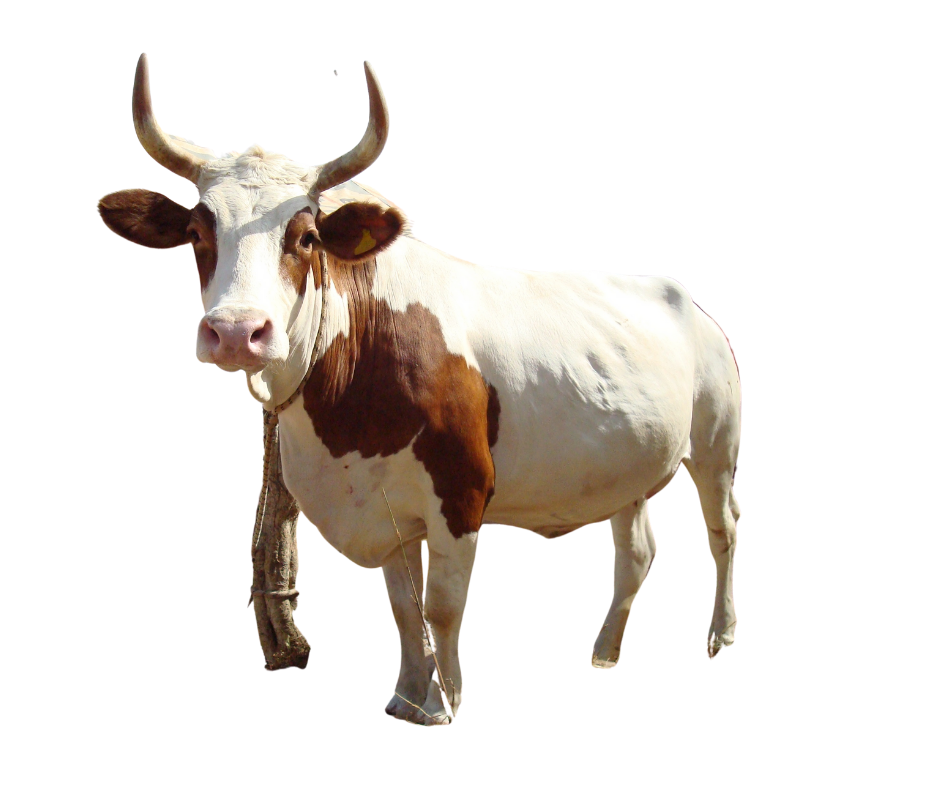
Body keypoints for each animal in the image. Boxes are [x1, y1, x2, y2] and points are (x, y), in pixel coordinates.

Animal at [99, 55, 742, 726]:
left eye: (305, 237)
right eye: (198, 233)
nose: (235, 332)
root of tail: (686, 300)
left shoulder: (459, 495)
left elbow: (442, 606)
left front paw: (444, 704)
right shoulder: (387, 509)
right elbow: (405, 609)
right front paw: (406, 696)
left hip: (717, 446)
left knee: (723, 529)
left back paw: (721, 633)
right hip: (625, 465)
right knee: (635, 553)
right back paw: (606, 651)